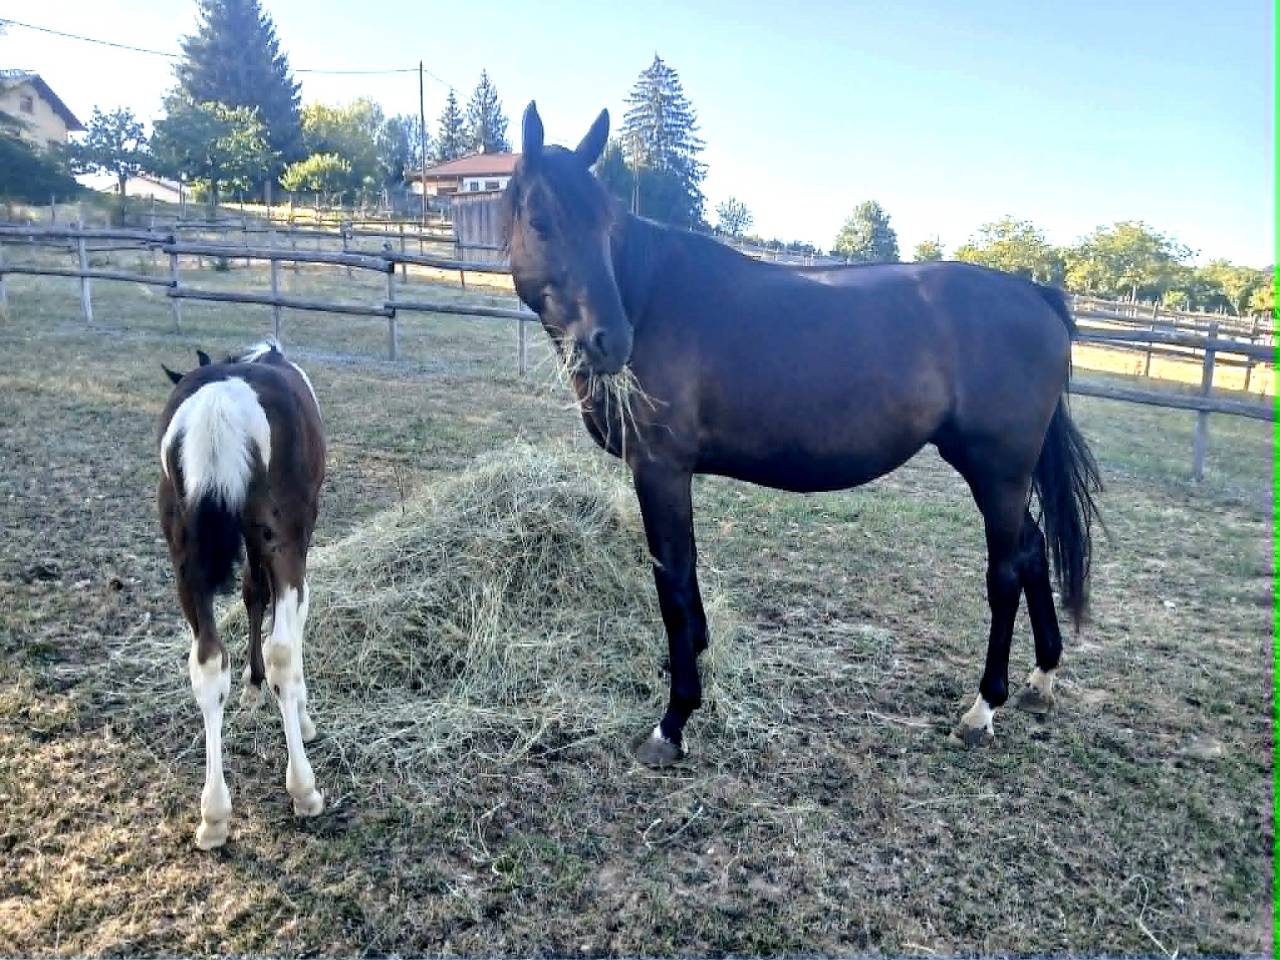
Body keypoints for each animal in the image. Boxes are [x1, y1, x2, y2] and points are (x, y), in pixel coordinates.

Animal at [157, 339, 326, 848]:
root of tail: (219, 403)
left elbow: (253, 593)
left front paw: (253, 686)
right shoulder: (296, 544)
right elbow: (291, 619)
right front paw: (301, 715)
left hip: (187, 559)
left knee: (208, 663)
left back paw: (214, 815)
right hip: (284, 539)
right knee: (282, 648)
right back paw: (304, 790)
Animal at [502, 102, 1101, 767]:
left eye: (606, 224)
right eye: (541, 220)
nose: (612, 341)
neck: (652, 295)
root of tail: (1035, 295)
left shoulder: (660, 470)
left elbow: (673, 583)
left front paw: (674, 719)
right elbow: (688, 581)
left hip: (997, 472)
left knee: (1006, 572)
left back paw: (982, 709)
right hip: (993, 472)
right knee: (1034, 550)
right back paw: (1040, 680)